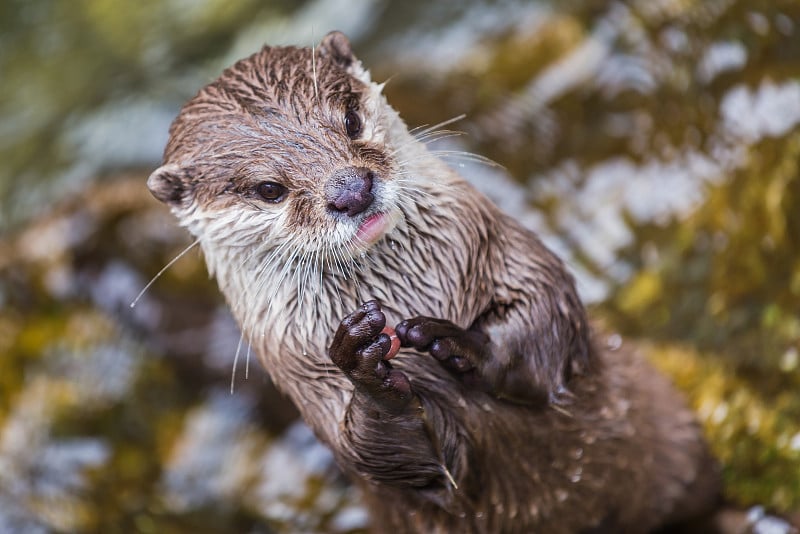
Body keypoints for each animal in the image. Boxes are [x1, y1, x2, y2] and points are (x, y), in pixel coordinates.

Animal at [147, 31, 720, 532]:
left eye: (350, 119)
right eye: (269, 189)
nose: (351, 189)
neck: (413, 291)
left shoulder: (504, 250)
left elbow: (543, 316)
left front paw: (460, 343)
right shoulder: (306, 379)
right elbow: (393, 456)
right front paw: (366, 370)